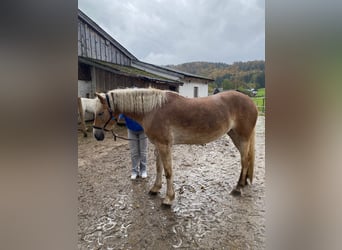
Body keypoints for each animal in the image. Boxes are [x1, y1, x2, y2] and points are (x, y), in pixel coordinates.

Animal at [92, 89, 258, 206]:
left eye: (100, 113)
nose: (96, 135)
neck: (153, 110)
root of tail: (251, 102)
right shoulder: (158, 146)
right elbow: (159, 168)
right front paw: (155, 189)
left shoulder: (165, 146)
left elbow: (168, 171)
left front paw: (168, 198)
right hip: (235, 136)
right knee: (246, 160)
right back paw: (242, 183)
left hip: (243, 138)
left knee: (245, 160)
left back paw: (238, 188)